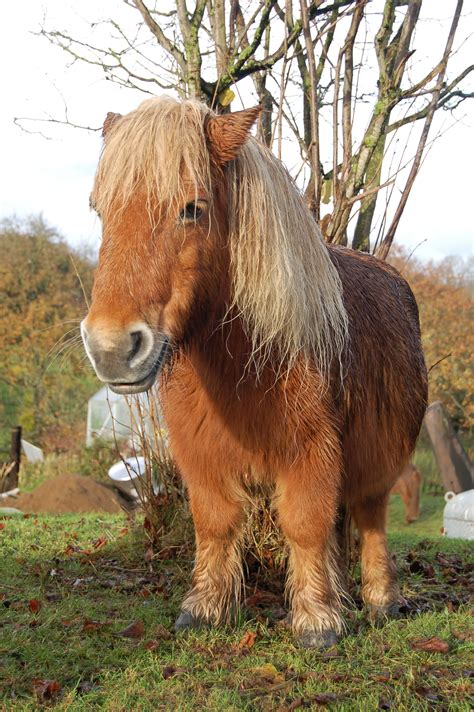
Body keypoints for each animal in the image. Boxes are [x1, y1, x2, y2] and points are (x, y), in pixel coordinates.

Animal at [79, 97, 428, 648]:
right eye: (101, 209)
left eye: (192, 208)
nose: (111, 347)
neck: (244, 361)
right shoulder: (199, 451)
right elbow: (216, 522)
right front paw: (205, 608)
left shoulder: (312, 451)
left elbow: (304, 524)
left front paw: (317, 622)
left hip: (378, 456)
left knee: (372, 517)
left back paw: (382, 601)